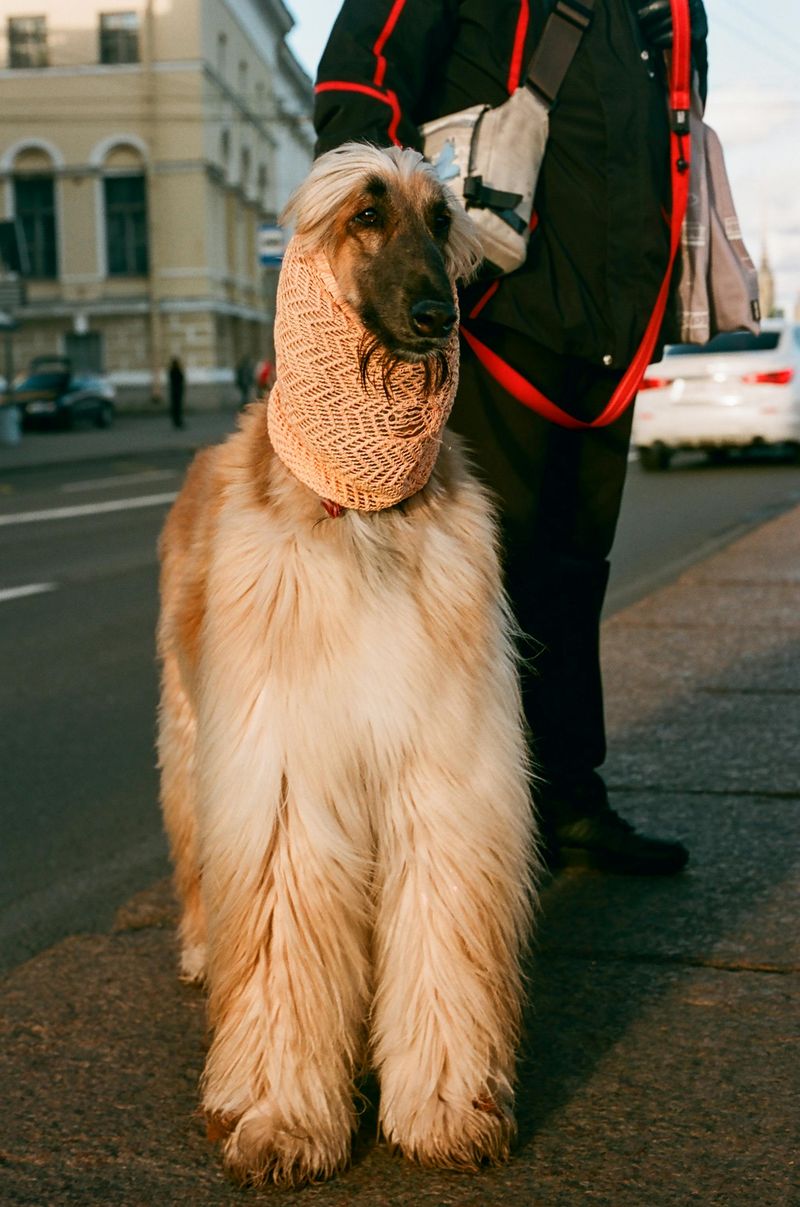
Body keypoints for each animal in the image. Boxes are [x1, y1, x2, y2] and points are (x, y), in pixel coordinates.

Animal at [156, 143, 538, 1187]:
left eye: (443, 221)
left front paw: (444, 1103)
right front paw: (282, 1116)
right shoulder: (285, 768)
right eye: (366, 215)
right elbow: (282, 943)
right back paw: (203, 947)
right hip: (192, 730)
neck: (361, 512)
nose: (437, 315)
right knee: (201, 853)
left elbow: (439, 935)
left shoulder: (439, 764)